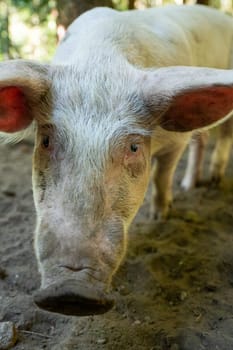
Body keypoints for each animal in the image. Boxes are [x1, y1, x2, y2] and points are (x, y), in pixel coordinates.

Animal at [0, 4, 233, 316]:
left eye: (133, 147)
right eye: (46, 141)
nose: (71, 293)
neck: (101, 60)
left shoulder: (176, 142)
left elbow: (161, 175)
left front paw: (160, 216)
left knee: (223, 136)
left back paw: (213, 182)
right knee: (204, 138)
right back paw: (189, 186)